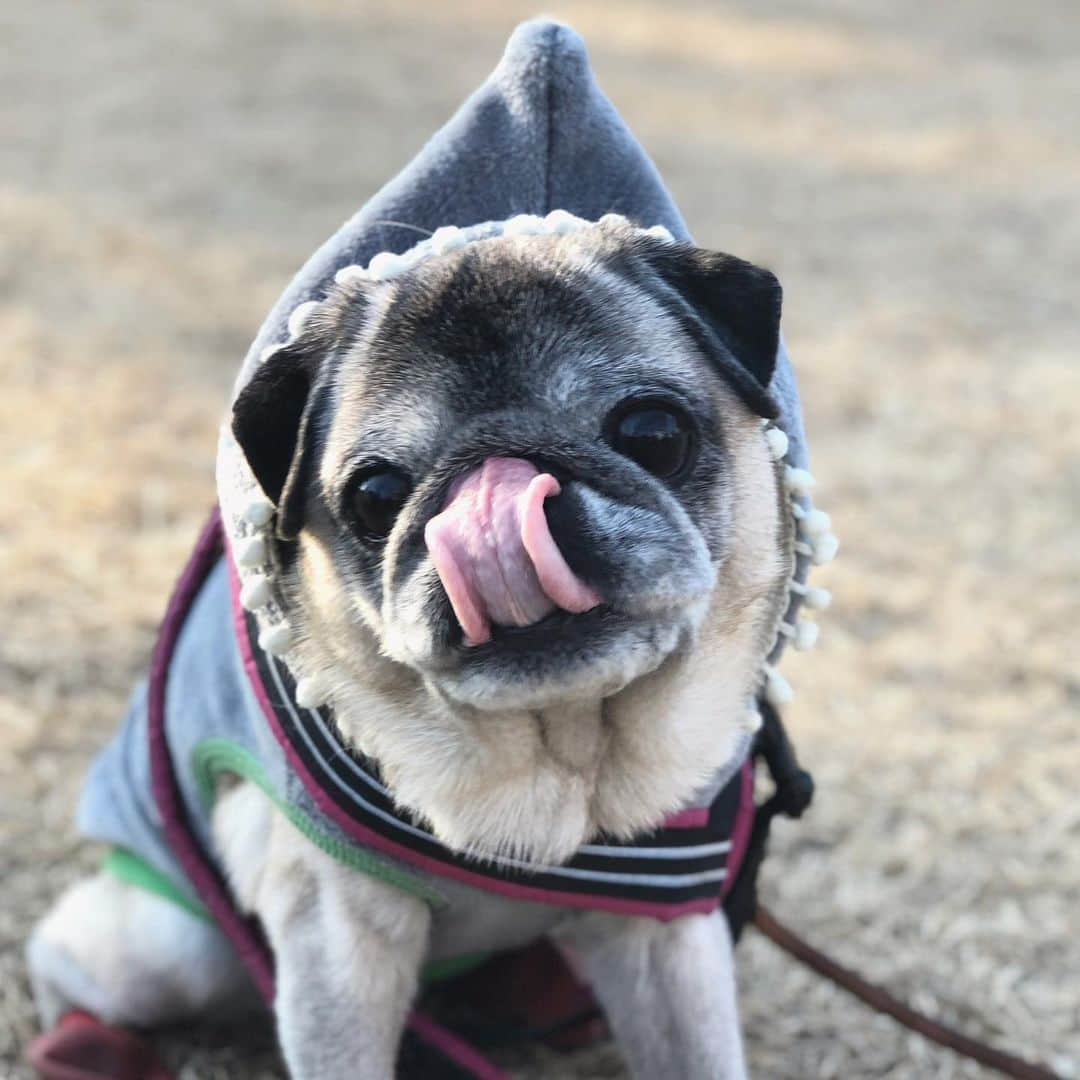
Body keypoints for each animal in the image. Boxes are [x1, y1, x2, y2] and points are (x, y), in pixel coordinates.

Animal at [29, 217, 794, 1080]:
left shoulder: (665, 937)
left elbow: (701, 1052)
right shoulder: (337, 935)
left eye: (653, 435)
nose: (501, 482)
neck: (557, 753)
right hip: (172, 946)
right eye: (375, 498)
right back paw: (88, 1042)